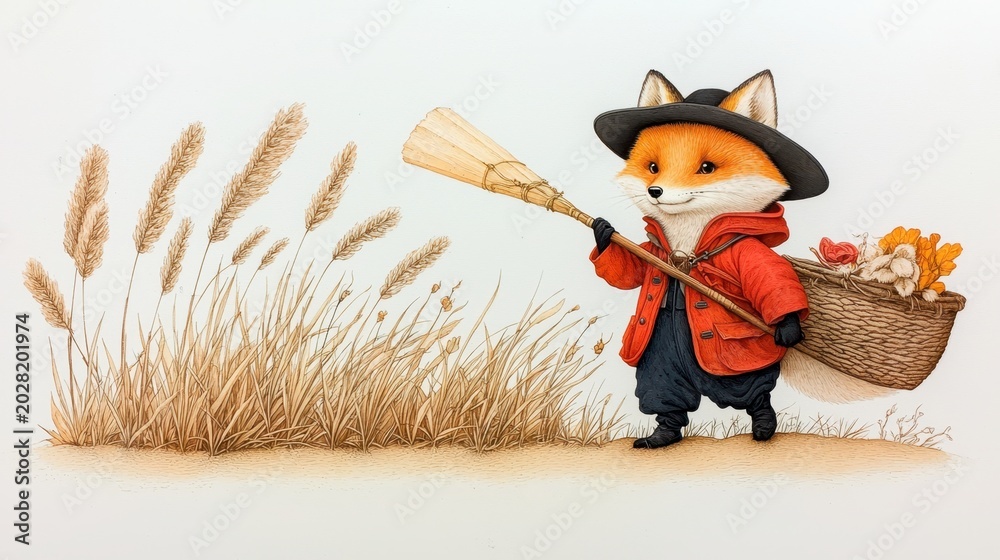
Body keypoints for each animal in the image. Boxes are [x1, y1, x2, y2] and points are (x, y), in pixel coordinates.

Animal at [588, 70, 882, 449]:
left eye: (707, 167)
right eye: (652, 166)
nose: (656, 192)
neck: (687, 241)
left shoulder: (746, 252)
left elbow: (772, 279)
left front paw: (789, 327)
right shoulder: (654, 254)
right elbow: (630, 274)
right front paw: (603, 234)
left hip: (738, 366)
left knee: (754, 392)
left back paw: (765, 426)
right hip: (660, 350)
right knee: (667, 391)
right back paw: (662, 436)